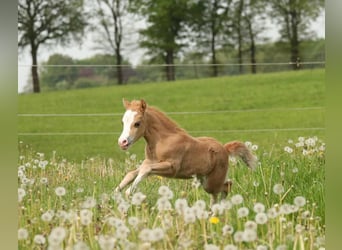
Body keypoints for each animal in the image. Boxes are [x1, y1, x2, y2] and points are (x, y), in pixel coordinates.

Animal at [115, 98, 256, 204]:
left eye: (137, 123)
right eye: (122, 122)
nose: (122, 142)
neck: (163, 140)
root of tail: (225, 149)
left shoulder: (171, 167)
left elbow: (145, 170)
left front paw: (129, 192)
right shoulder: (150, 162)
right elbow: (131, 173)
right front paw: (115, 193)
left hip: (211, 182)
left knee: (226, 186)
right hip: (204, 179)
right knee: (222, 189)